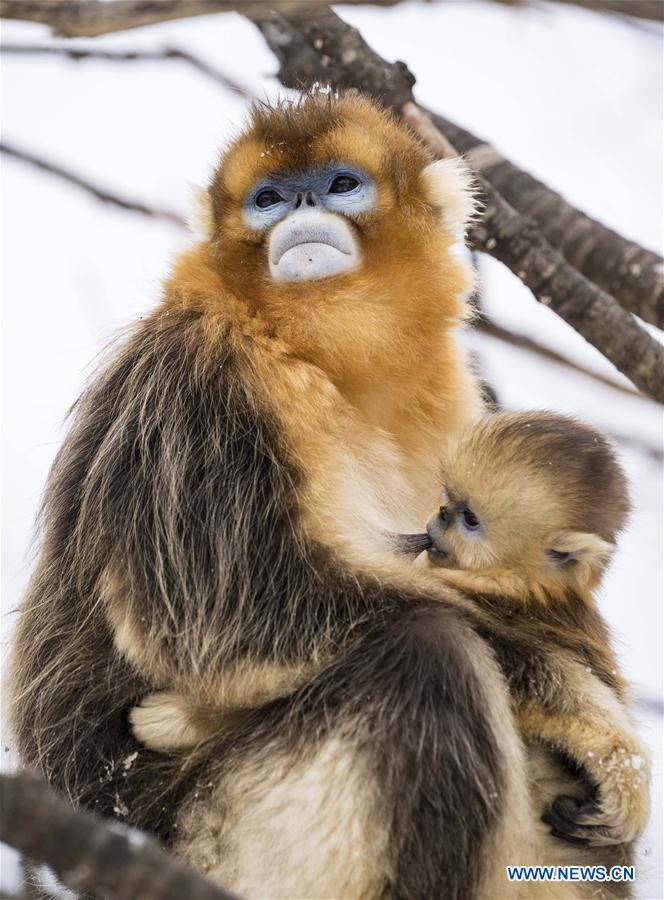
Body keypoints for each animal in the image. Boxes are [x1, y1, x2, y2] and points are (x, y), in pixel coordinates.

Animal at [8, 92, 622, 900]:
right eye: (268, 199)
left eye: (340, 185)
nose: (300, 206)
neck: (316, 354)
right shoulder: (200, 377)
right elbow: (223, 618)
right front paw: (586, 708)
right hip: (211, 835)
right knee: (427, 654)